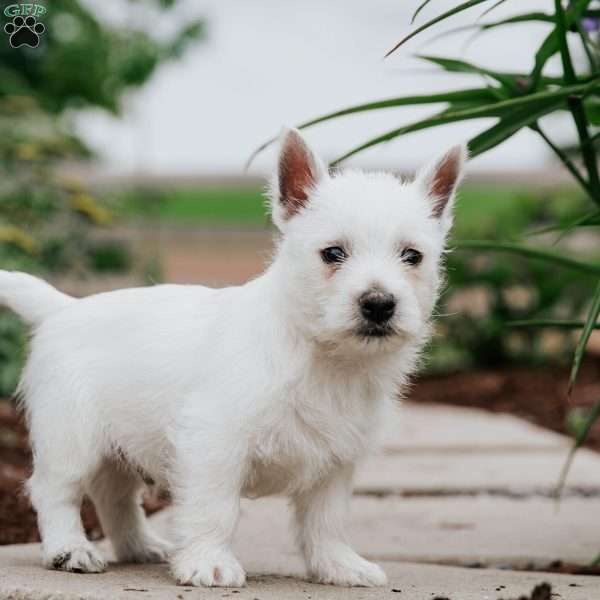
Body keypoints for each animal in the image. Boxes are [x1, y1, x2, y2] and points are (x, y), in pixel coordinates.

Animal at [0, 127, 466, 584]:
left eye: (412, 256)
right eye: (333, 253)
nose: (379, 304)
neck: (322, 355)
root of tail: (63, 307)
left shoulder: (336, 459)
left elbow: (327, 519)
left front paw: (339, 565)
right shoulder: (214, 441)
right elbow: (214, 507)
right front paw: (209, 562)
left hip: (117, 445)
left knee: (115, 496)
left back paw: (141, 547)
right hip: (71, 436)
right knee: (56, 491)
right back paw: (69, 549)